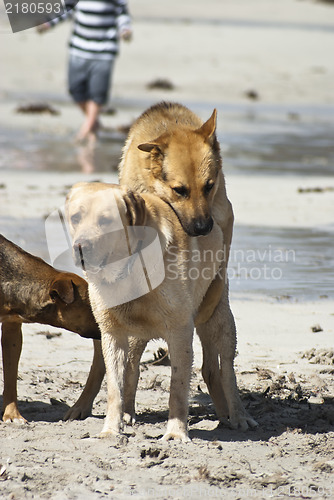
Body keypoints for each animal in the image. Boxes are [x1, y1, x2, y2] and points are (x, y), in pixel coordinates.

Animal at [66, 182, 227, 440]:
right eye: (75, 218)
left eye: (106, 220)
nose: (81, 247)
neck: (127, 270)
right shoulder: (112, 334)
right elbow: (115, 387)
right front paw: (112, 429)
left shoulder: (180, 332)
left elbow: (178, 387)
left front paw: (176, 433)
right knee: (132, 370)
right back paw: (128, 414)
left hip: (217, 319)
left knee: (221, 370)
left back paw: (237, 417)